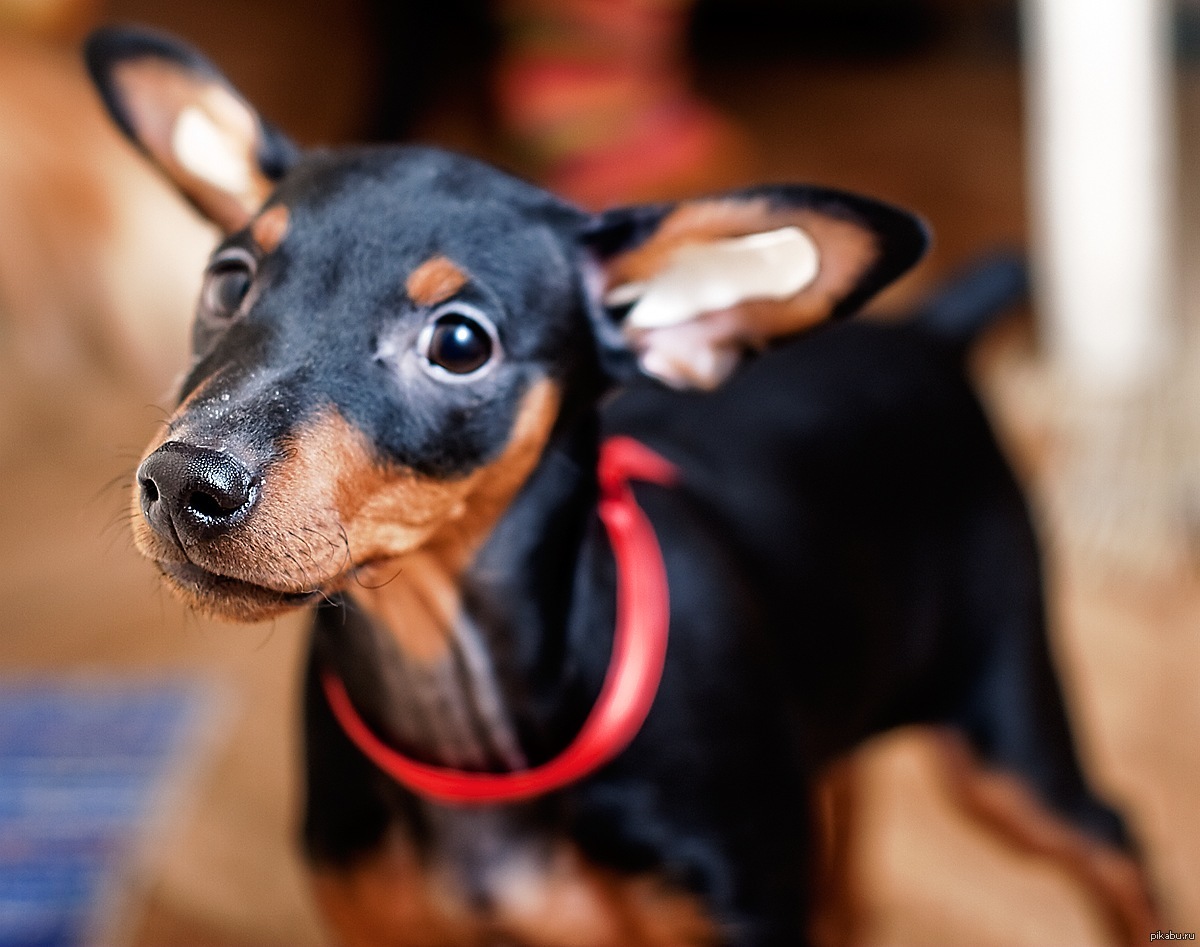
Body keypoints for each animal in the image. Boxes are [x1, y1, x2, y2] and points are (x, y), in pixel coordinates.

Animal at [84, 25, 1152, 940]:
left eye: (460, 344)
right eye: (230, 278)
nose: (185, 480)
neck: (460, 707)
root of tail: (928, 333)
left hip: (1006, 731)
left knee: (1113, 839)